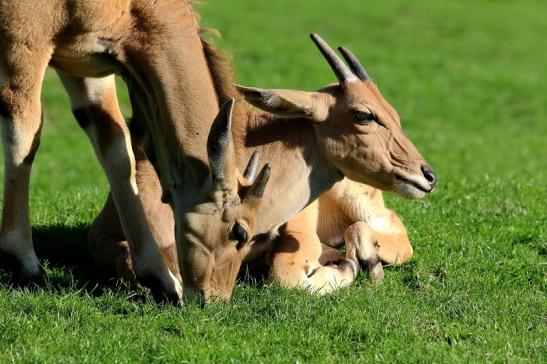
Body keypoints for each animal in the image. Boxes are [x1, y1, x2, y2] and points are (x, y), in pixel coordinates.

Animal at [89, 32, 436, 302]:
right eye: (364, 115)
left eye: (394, 115)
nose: (427, 174)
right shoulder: (102, 235)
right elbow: (124, 257)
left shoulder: (299, 229)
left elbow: (285, 275)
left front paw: (346, 268)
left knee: (389, 231)